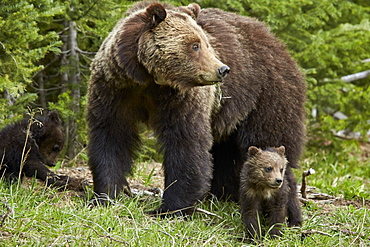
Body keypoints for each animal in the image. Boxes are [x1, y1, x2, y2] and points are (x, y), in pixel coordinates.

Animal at [86, 0, 304, 224]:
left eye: (206, 43)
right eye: (195, 45)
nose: (223, 69)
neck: (148, 80)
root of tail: (278, 42)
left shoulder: (181, 100)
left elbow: (186, 145)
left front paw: (170, 209)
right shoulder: (115, 89)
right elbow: (111, 136)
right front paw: (105, 196)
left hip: (266, 96)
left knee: (268, 143)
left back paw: (289, 214)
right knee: (227, 153)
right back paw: (224, 195)